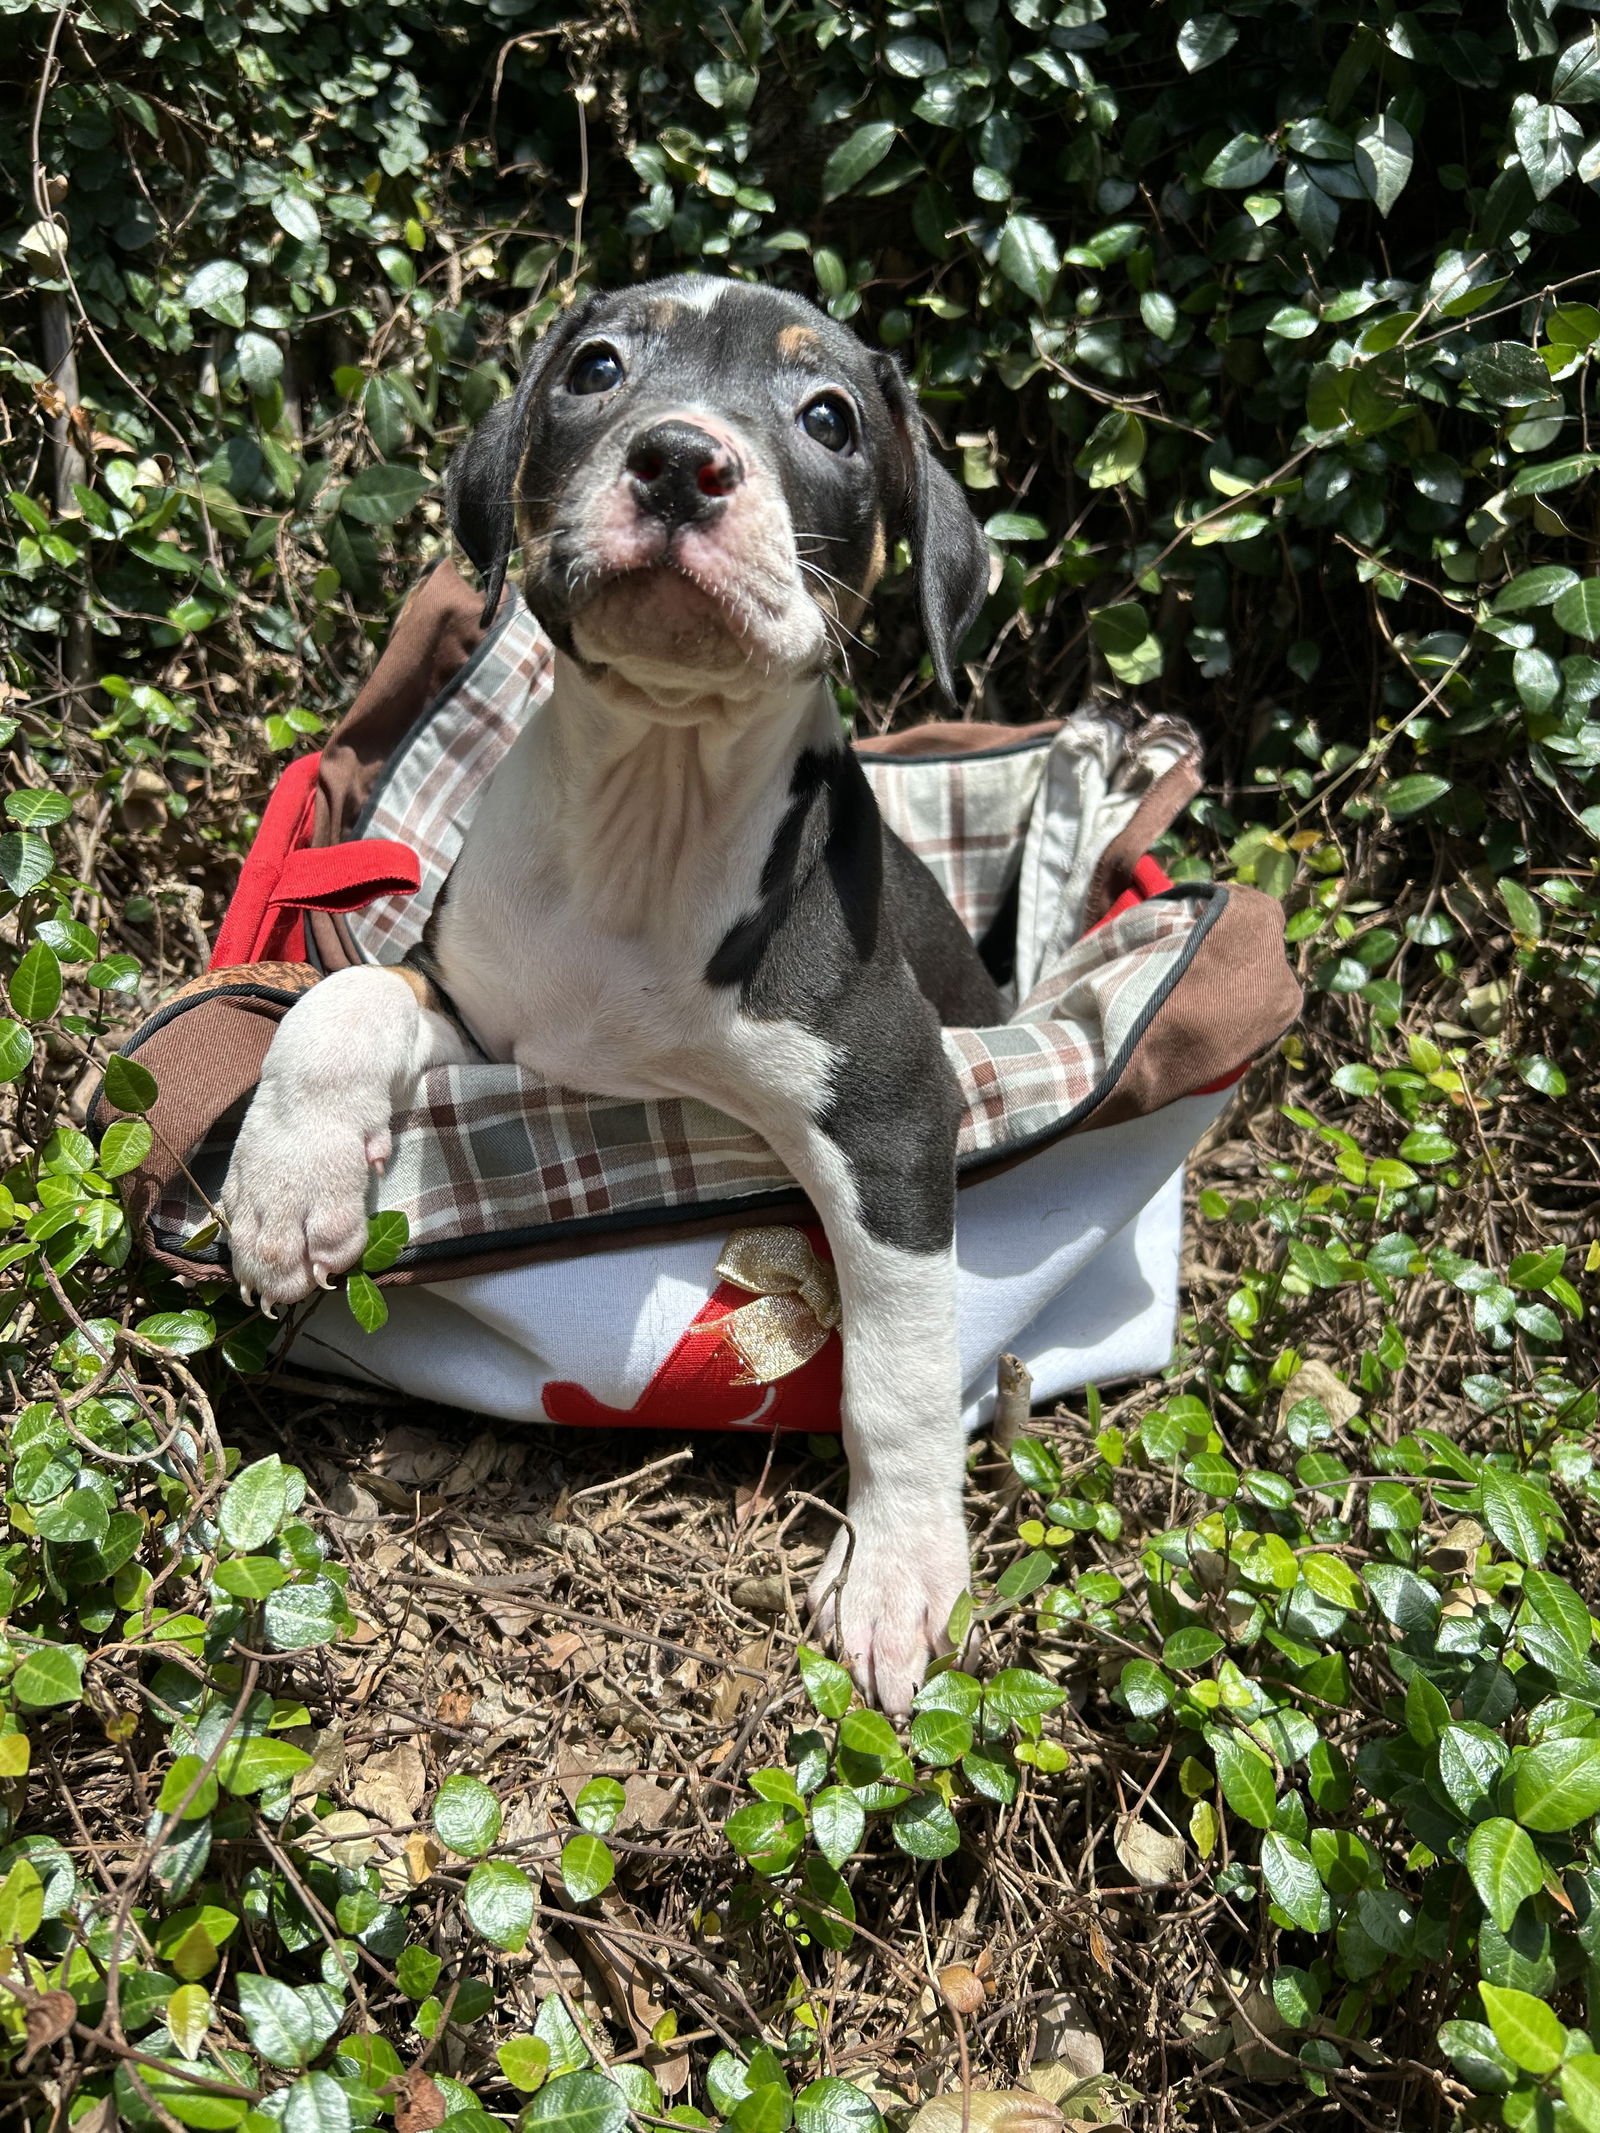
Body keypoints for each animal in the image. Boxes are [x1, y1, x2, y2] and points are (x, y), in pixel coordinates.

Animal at [222, 275, 1002, 1714]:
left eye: (829, 416)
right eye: (596, 367)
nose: (681, 459)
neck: (659, 789)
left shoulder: (894, 1114)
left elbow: (899, 1364)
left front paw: (899, 1571)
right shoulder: (472, 1004)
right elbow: (339, 1001)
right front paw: (288, 1189)